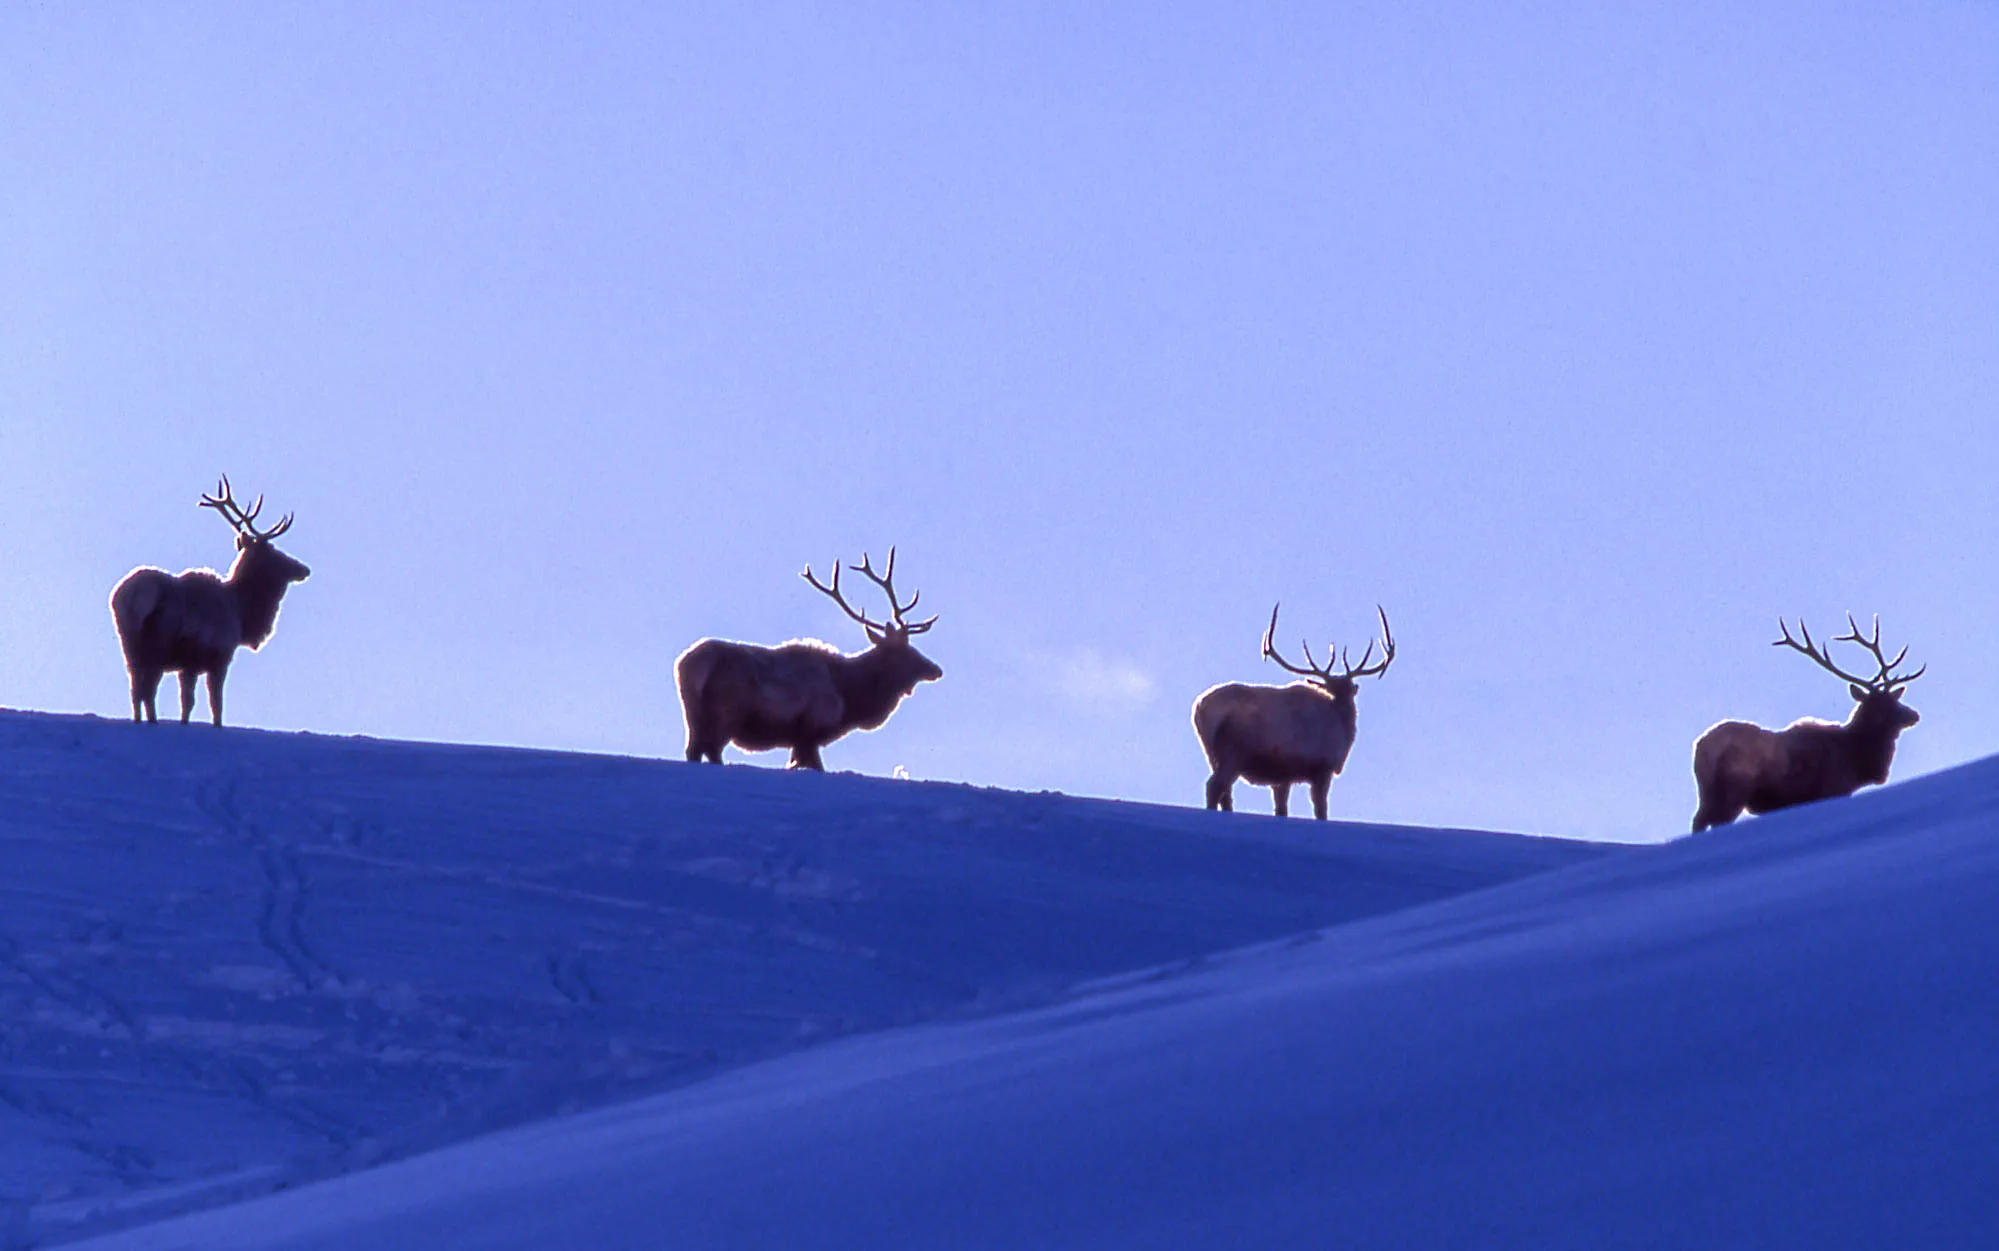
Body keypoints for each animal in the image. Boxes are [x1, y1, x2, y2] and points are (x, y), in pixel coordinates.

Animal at [108, 478, 312, 726]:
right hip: (156, 642)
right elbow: (212, 704)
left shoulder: (189, 665)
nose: (304, 569)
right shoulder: (214, 657)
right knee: (146, 691)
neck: (241, 612)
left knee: (136, 691)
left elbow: (187, 705)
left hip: (128, 644)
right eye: (275, 552)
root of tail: (133, 595)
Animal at [676, 548, 942, 771]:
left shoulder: (798, 739)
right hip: (728, 711)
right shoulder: (810, 730)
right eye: (908, 652)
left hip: (692, 714)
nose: (936, 670)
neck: (849, 696)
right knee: (711, 750)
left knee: (693, 751)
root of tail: (691, 664)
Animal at [1192, 603, 1395, 819]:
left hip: (1212, 755)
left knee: (1224, 793)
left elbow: (1281, 809)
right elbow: (1320, 810)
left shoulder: (1282, 776)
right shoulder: (1321, 768)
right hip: (1232, 751)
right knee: (1214, 786)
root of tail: (1199, 709)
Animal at [1690, 615, 1924, 833]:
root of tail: (1702, 747)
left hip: (1706, 792)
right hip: (1734, 790)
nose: (1914, 715)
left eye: (1895, 699)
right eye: (1886, 704)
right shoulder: (1833, 789)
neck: (1856, 760)